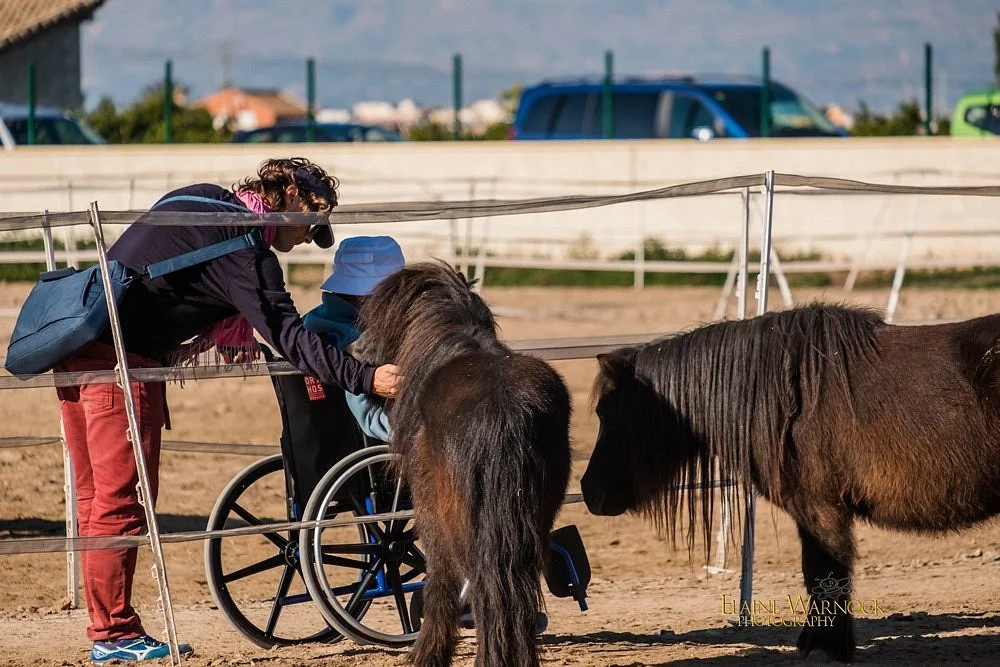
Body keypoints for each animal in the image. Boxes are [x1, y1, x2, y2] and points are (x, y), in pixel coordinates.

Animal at [355, 261, 572, 667]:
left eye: (379, 317)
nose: (356, 351)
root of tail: (503, 408)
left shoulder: (429, 512)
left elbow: (440, 579)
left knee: (479, 580)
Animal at [580, 303, 1000, 662]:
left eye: (607, 411)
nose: (589, 491)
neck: (789, 398)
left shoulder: (821, 510)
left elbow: (825, 575)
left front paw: (826, 646)